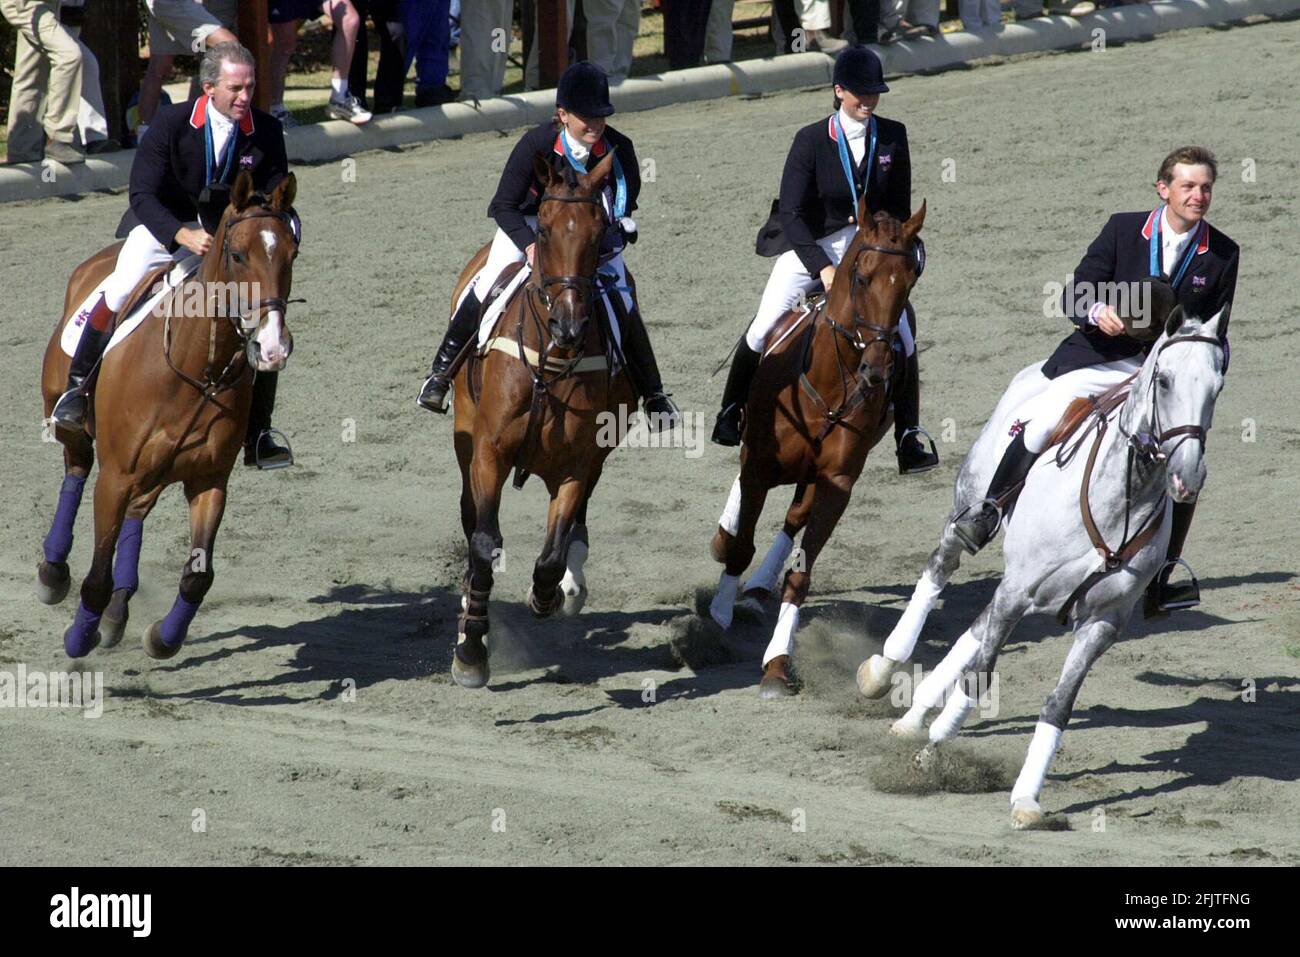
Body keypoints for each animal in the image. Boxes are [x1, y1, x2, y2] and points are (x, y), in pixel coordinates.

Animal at [38, 171, 299, 660]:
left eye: (292, 254)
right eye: (238, 255)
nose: (271, 346)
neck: (198, 370)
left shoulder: (208, 480)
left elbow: (198, 576)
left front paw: (162, 638)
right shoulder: (115, 477)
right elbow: (96, 578)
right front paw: (78, 639)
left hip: (155, 472)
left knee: (138, 512)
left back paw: (119, 612)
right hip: (78, 436)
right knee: (75, 472)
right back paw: (53, 573)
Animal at [449, 149, 637, 686]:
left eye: (599, 234)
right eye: (547, 230)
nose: (569, 325)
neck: (551, 360)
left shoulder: (577, 463)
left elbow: (552, 553)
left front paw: (548, 593)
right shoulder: (488, 452)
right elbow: (484, 542)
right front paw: (471, 648)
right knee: (471, 519)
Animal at [707, 200, 930, 696]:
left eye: (909, 280)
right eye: (862, 277)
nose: (877, 371)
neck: (830, 381)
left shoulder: (836, 483)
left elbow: (800, 573)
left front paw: (776, 664)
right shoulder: (759, 464)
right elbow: (740, 545)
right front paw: (719, 616)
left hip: (812, 475)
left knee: (793, 517)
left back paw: (757, 588)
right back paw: (725, 544)